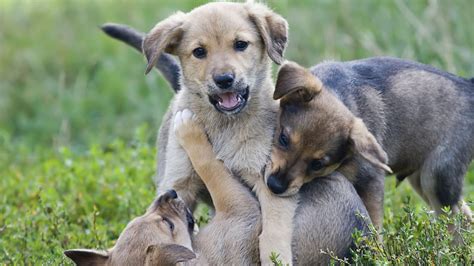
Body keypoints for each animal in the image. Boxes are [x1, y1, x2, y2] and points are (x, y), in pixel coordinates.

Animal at [268, 60, 472, 229]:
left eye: (317, 165)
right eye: (283, 139)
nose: (274, 186)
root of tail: (469, 85)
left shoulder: (371, 184)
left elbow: (374, 227)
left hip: (436, 178)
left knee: (456, 225)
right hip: (422, 180)